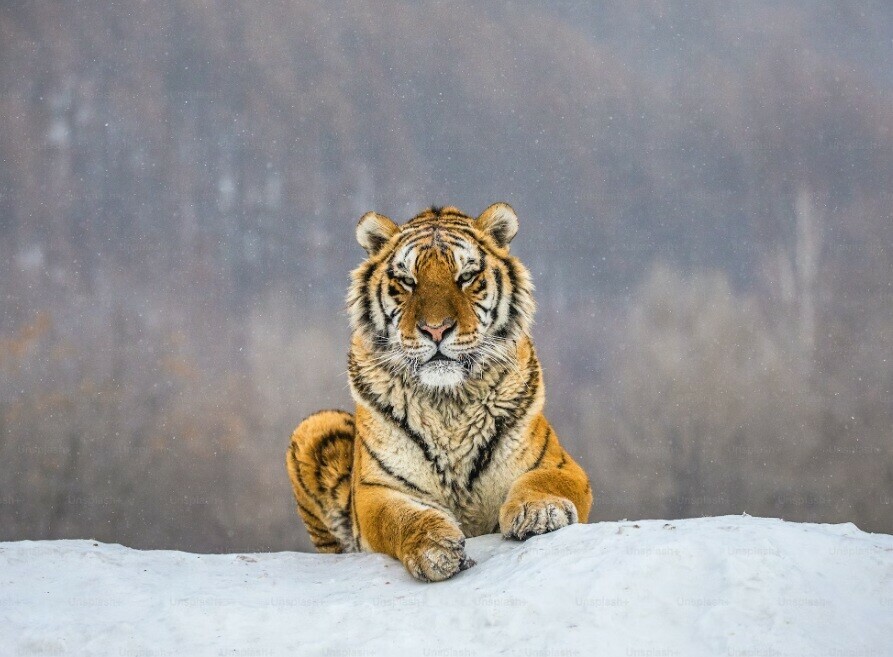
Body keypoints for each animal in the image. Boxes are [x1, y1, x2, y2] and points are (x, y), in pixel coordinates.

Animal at [286, 204, 592, 580]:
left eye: (466, 277)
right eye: (407, 281)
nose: (435, 329)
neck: (448, 403)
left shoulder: (560, 464)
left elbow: (545, 480)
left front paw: (541, 512)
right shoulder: (377, 490)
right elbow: (400, 518)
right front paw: (435, 547)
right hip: (314, 427)